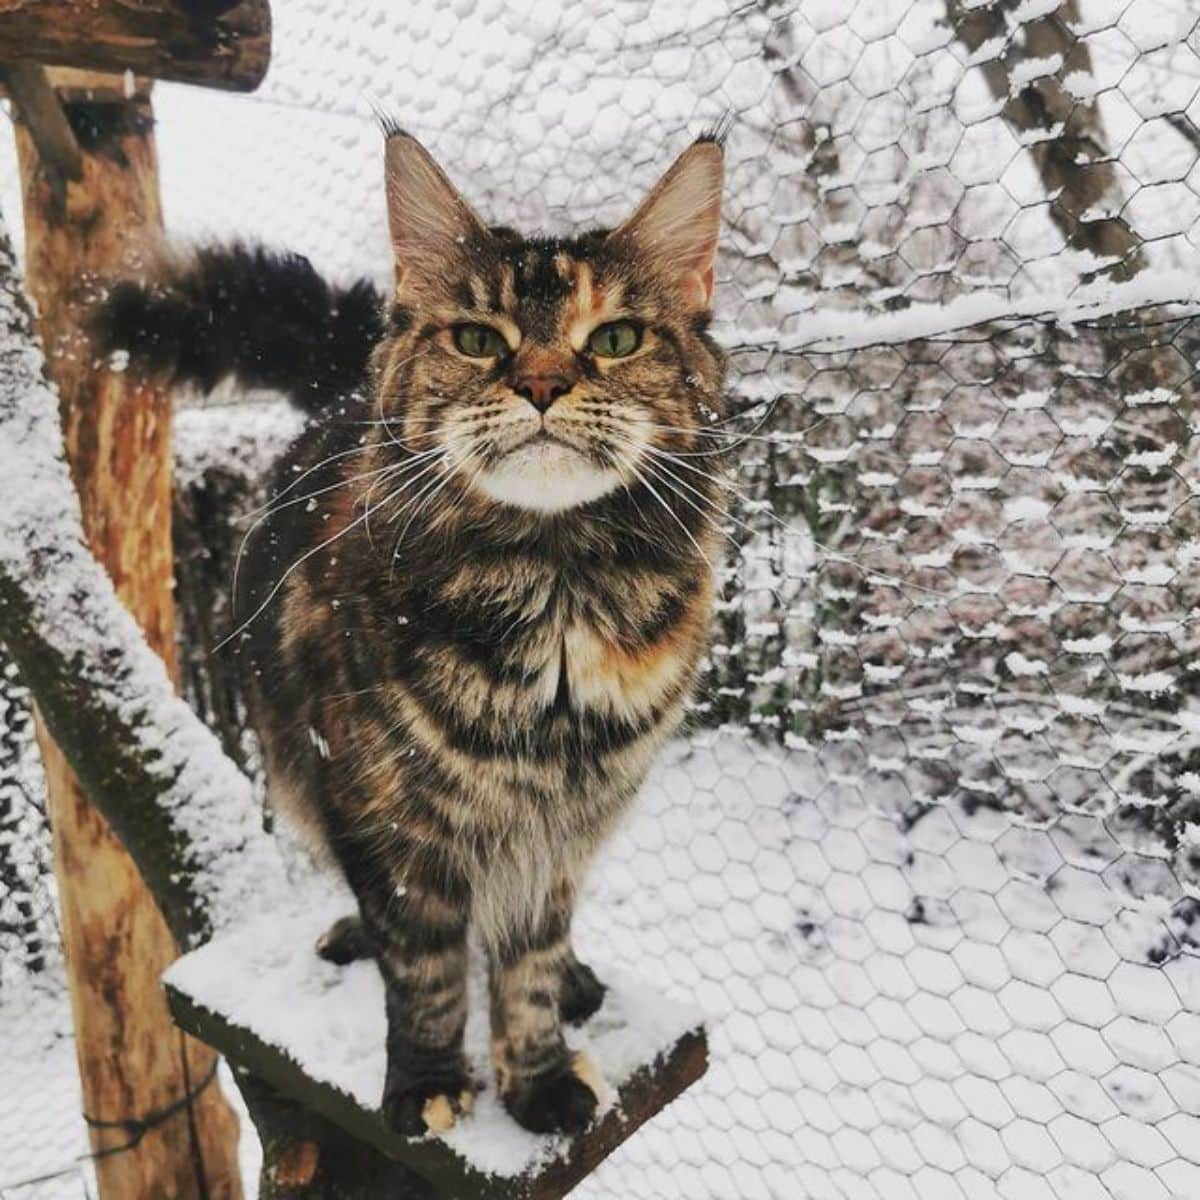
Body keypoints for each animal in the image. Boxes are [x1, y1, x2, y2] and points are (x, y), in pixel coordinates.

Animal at [103, 126, 724, 1137]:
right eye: (477, 340)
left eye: (616, 339)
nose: (542, 383)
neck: (552, 592)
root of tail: (338, 390)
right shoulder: (385, 817)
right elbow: (425, 969)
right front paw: (427, 1084)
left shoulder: (560, 833)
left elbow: (528, 963)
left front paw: (539, 1078)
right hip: (304, 773)